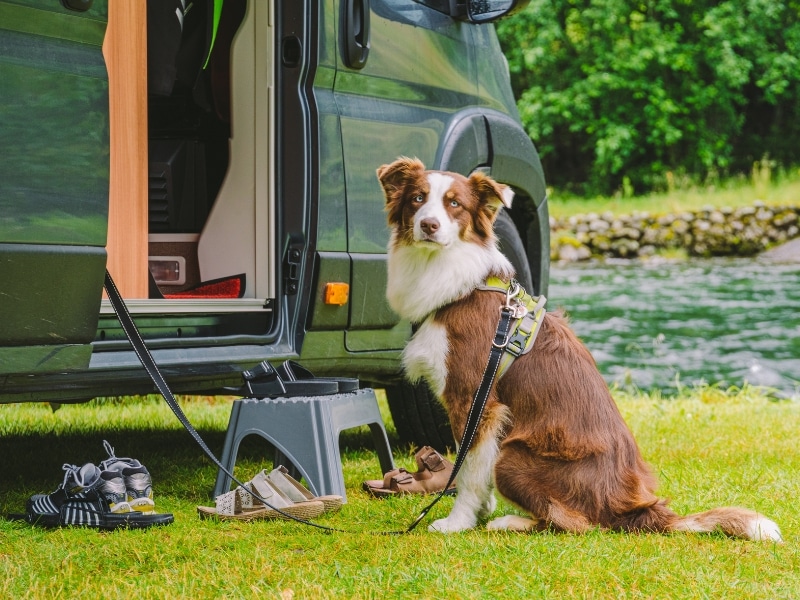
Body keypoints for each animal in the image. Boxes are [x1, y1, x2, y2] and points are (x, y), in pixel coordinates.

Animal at [376, 157, 780, 540]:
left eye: (455, 204)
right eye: (418, 199)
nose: (429, 225)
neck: (457, 281)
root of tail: (634, 510)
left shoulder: (475, 398)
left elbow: (468, 472)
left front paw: (458, 522)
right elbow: (471, 467)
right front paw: (480, 510)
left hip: (513, 454)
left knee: (576, 523)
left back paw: (511, 522)